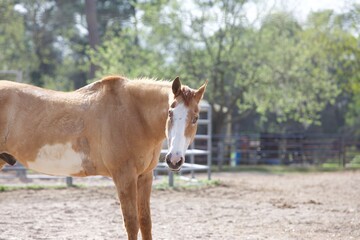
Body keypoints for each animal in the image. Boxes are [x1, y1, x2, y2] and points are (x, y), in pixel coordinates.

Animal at [0, 75, 207, 240]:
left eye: (195, 118)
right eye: (170, 113)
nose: (174, 160)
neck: (134, 116)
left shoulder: (144, 176)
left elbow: (145, 222)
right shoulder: (124, 177)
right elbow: (132, 223)